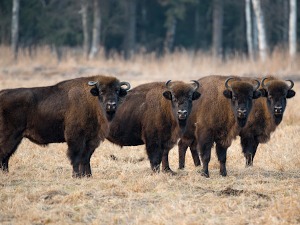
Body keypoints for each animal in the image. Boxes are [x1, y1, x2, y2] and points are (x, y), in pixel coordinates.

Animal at [0, 75, 130, 178]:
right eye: (102, 91)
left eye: (117, 91)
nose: (111, 105)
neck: (92, 99)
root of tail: (2, 94)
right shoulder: (76, 138)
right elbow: (75, 157)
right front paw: (76, 176)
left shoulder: (92, 140)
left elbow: (86, 158)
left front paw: (88, 175)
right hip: (10, 135)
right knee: (4, 153)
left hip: (17, 138)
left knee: (7, 155)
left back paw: (6, 173)